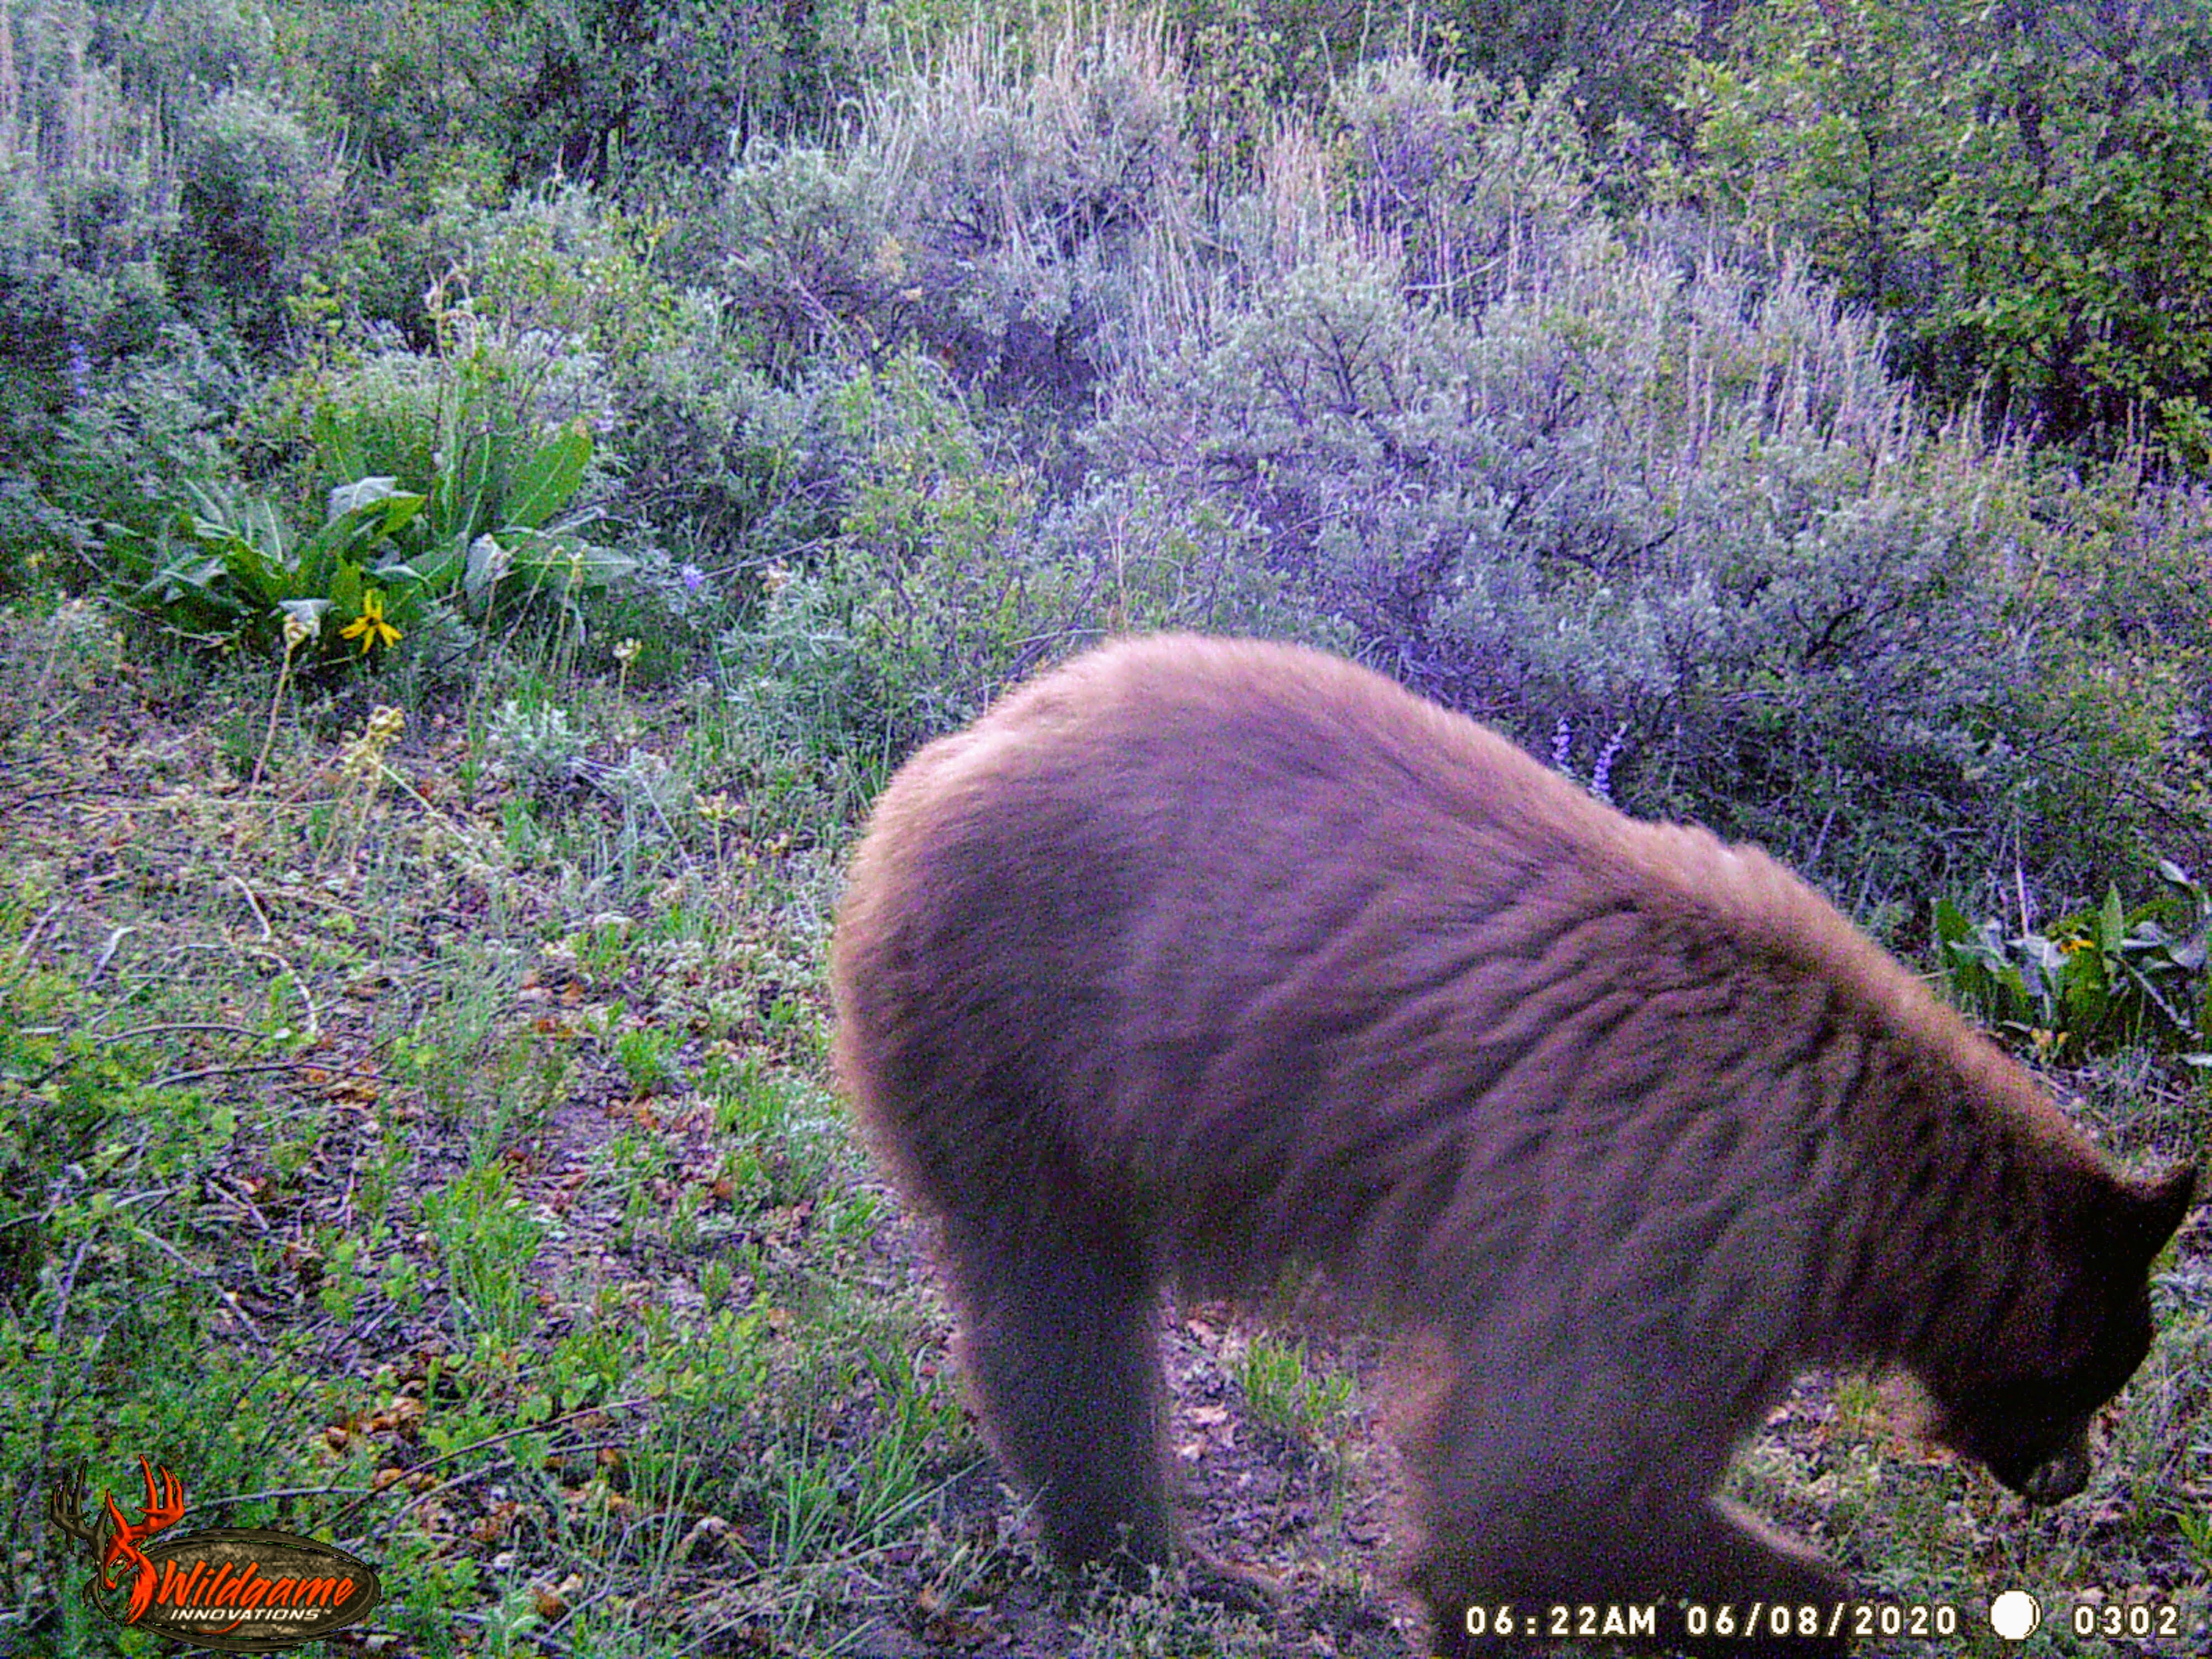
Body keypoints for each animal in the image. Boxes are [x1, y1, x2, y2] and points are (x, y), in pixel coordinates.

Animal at [827, 633, 2195, 1655]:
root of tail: (941, 760)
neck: (1875, 1194)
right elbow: (1539, 1491)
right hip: (1022, 1027)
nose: (2073, 1480)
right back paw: (1149, 1558)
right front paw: (1810, 1598)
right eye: (2105, 1370)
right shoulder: (1685, 1245)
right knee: (1063, 1314)